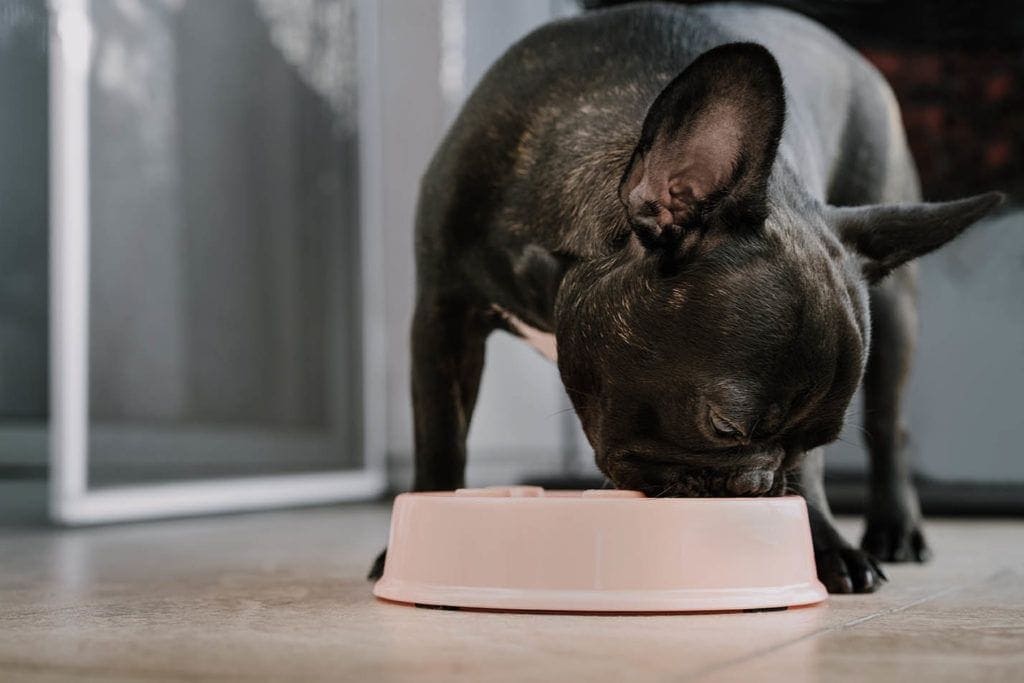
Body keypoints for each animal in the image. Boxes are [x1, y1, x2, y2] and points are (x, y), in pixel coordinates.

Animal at [368, 1, 999, 593]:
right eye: (725, 427)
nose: (758, 485)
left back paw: (897, 527)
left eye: (814, 441)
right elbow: (440, 438)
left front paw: (822, 542)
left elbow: (815, 475)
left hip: (895, 314)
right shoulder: (443, 316)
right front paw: (415, 534)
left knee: (892, 425)